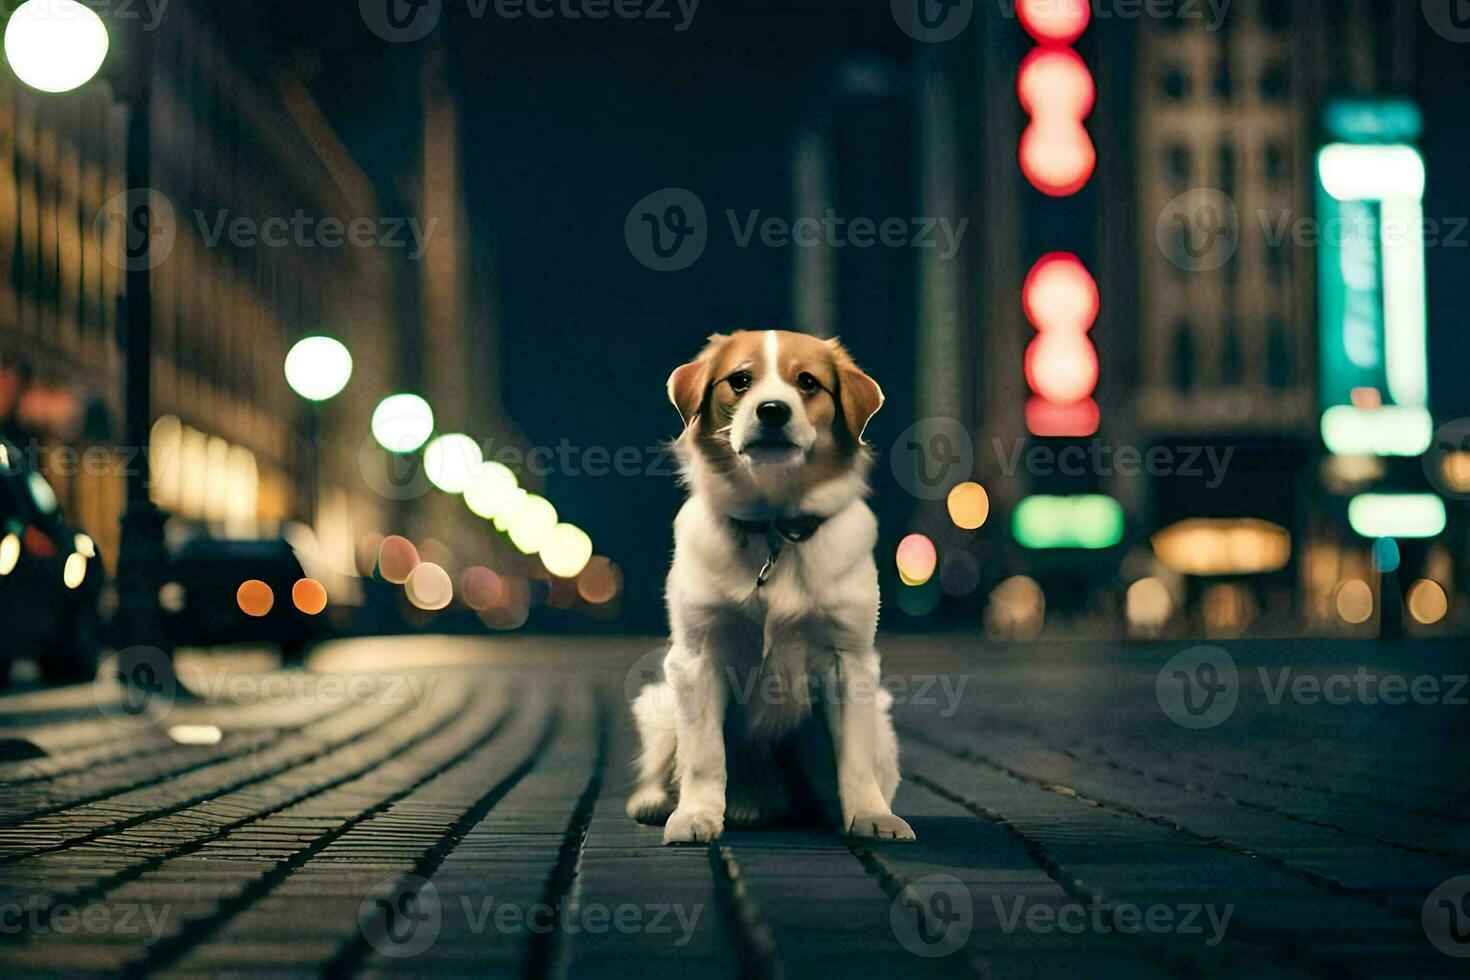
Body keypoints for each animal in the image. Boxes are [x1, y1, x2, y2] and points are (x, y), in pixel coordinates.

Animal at [626, 327, 911, 846]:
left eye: (808, 382)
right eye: (740, 380)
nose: (773, 410)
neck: (775, 527)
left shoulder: (850, 662)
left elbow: (854, 760)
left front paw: (870, 814)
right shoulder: (695, 657)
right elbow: (703, 757)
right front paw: (695, 814)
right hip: (658, 701)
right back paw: (661, 802)